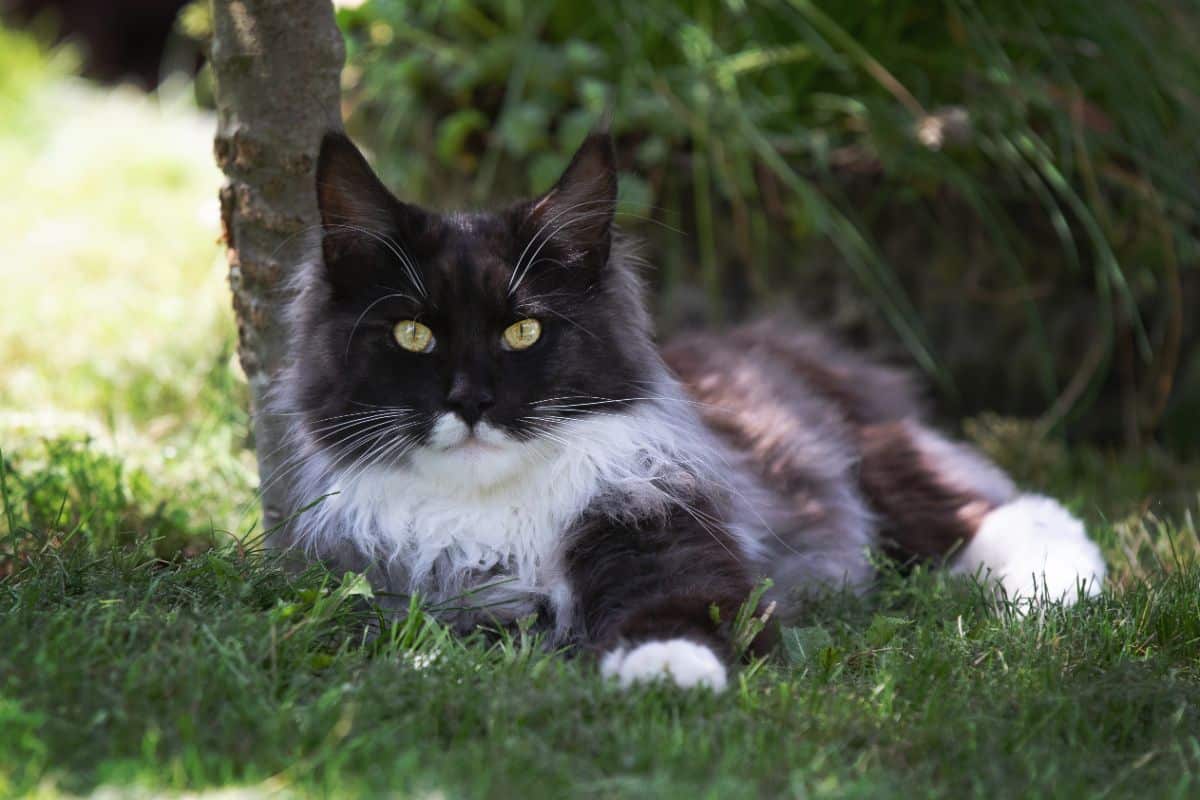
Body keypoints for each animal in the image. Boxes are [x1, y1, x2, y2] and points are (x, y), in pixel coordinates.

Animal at [270, 130, 1104, 690]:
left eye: (522, 331)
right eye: (413, 333)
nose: (470, 401)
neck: (493, 515)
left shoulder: (668, 531)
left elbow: (674, 614)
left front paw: (665, 673)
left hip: (875, 462)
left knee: (1008, 511)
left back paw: (1060, 595)